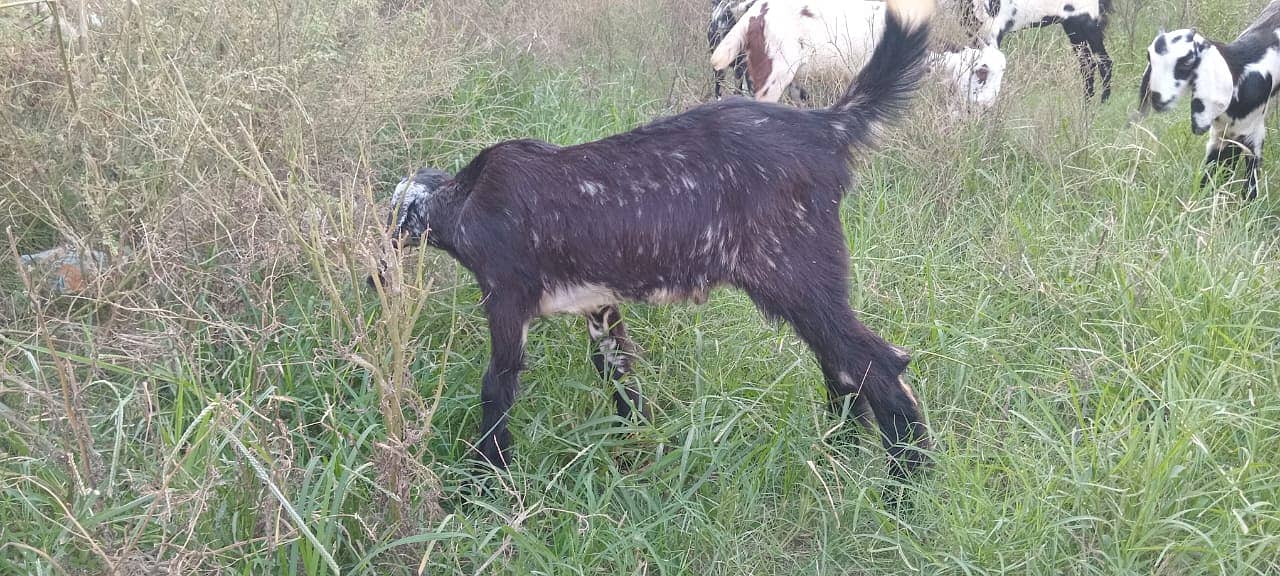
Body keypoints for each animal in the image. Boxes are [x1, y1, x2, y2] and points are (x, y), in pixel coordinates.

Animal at [373, 0, 936, 476]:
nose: (378, 273)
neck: (465, 199)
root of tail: (827, 127)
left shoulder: (506, 299)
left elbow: (497, 386)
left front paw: (484, 478)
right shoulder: (598, 305)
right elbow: (618, 373)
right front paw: (637, 448)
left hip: (796, 278)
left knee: (879, 366)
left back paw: (903, 488)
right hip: (809, 289)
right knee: (842, 368)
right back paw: (838, 454)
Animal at [977, 0, 1111, 101]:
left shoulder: (993, 32)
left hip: (1087, 23)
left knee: (1104, 61)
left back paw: (1101, 105)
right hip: (1073, 27)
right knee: (1088, 64)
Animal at [1141, 2, 1280, 199]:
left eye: (1186, 62)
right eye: (1150, 58)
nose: (1156, 98)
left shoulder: (1253, 133)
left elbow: (1250, 184)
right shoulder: (1222, 134)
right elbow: (1212, 173)